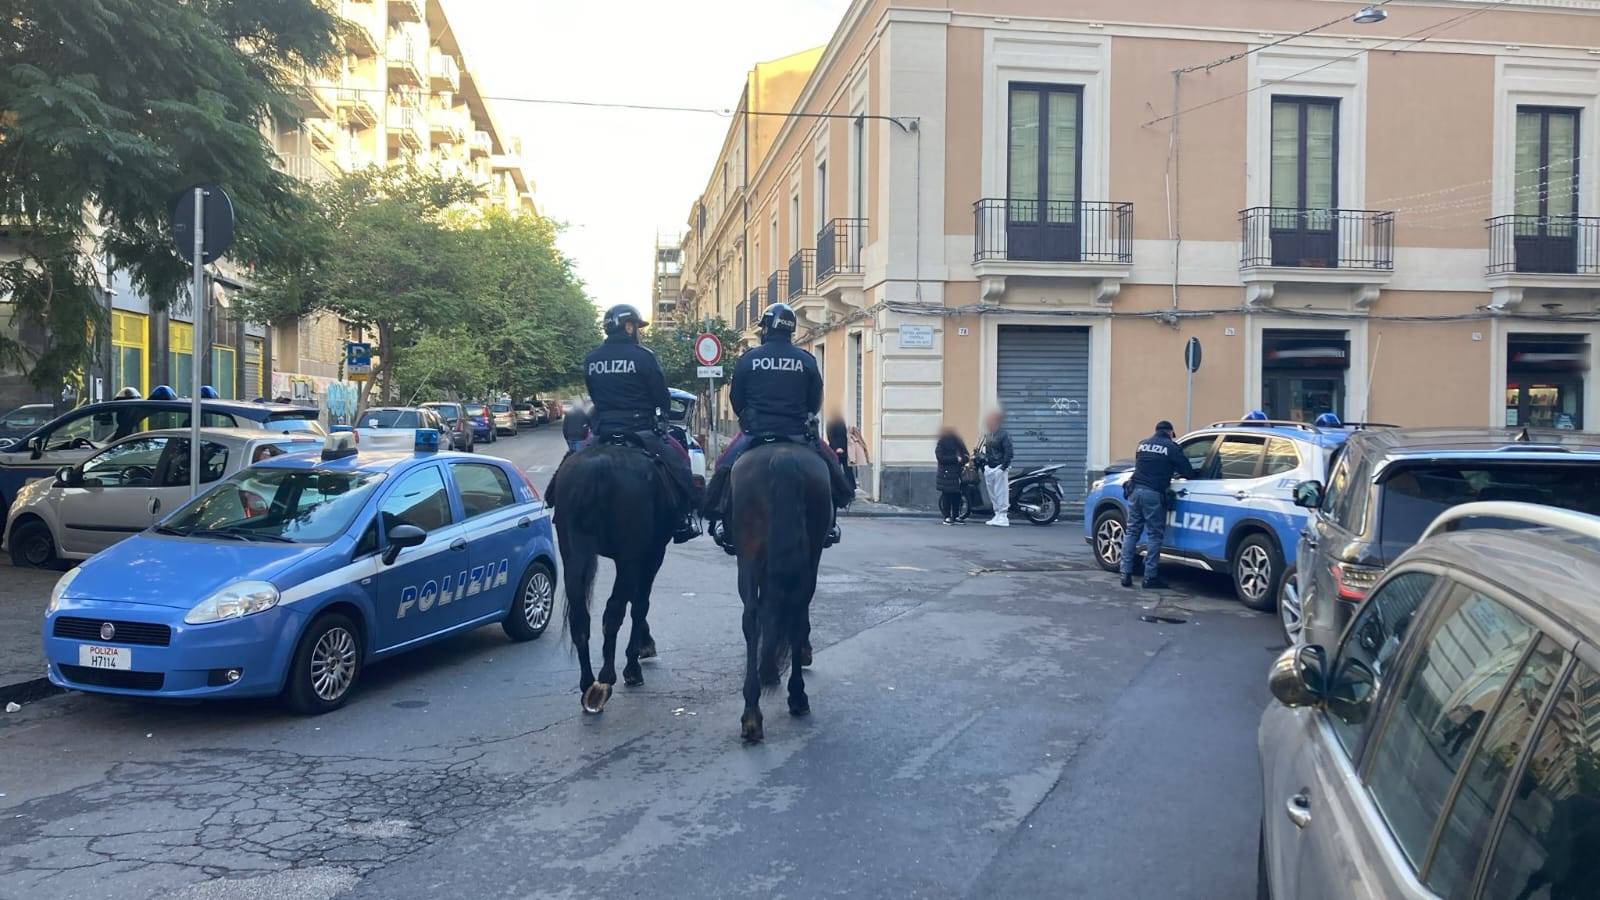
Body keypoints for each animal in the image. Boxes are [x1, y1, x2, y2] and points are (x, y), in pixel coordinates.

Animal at [553, 438, 672, 711]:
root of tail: (596, 468)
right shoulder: (652, 554)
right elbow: (640, 604)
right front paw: (636, 661)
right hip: (630, 556)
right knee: (615, 609)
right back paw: (606, 681)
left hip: (574, 552)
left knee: (580, 615)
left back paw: (587, 682)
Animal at [732, 438, 832, 739]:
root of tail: (782, 458)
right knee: (793, 612)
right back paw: (793, 696)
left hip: (749, 555)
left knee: (753, 616)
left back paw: (753, 710)